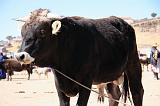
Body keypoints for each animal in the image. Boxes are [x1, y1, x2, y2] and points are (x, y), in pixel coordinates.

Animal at [15, 8, 144, 106]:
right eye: (22, 32)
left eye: (42, 32)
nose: (19, 55)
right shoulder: (59, 85)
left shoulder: (86, 82)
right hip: (110, 75)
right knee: (114, 95)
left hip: (133, 64)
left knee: (137, 92)